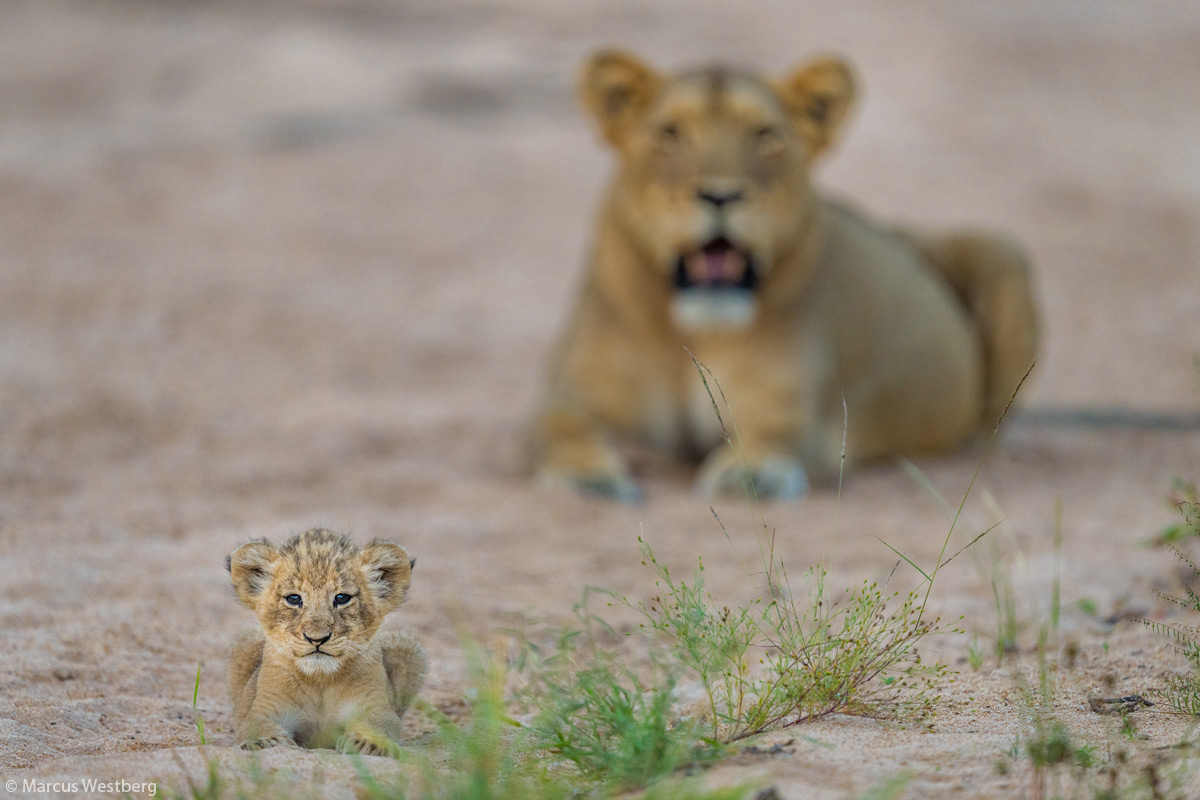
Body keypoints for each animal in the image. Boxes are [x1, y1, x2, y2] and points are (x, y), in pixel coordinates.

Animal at [530, 50, 1036, 501]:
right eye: (670, 133)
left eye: (765, 134)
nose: (720, 195)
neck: (696, 331)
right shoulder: (573, 394)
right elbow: (556, 425)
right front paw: (585, 477)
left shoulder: (803, 415)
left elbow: (778, 432)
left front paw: (751, 472)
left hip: (1004, 256)